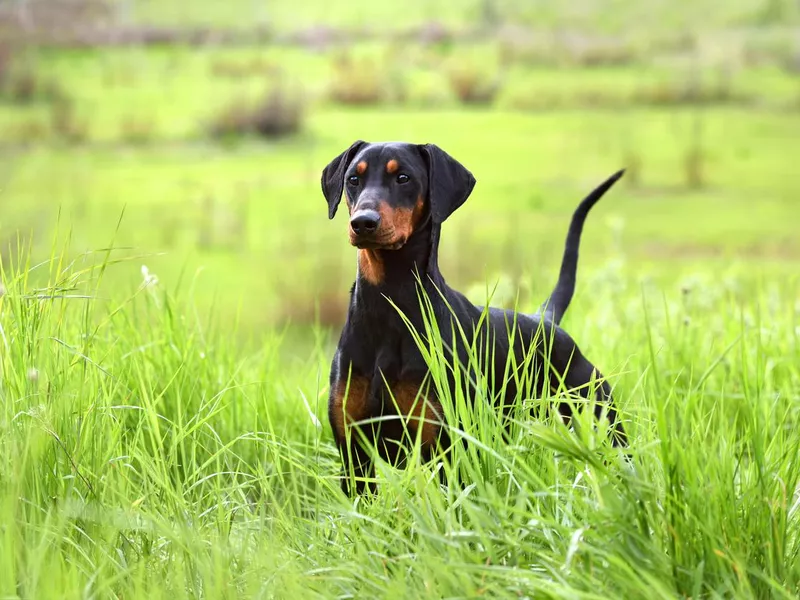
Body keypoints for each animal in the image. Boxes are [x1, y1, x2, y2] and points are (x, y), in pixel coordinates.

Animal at [318, 142, 624, 496]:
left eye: (403, 177)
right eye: (353, 179)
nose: (363, 223)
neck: (389, 305)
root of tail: (545, 320)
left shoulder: (443, 448)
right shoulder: (354, 455)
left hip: (602, 418)